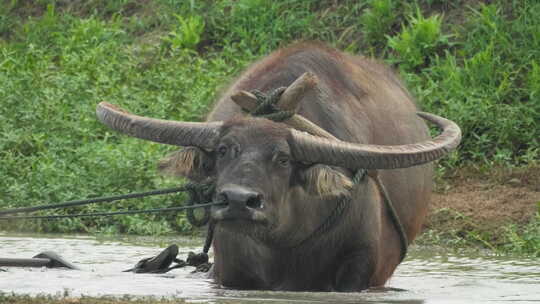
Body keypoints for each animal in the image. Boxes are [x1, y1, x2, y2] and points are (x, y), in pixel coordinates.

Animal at [97, 43, 460, 292]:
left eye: (283, 159)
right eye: (224, 151)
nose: (238, 201)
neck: (283, 245)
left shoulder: (359, 268)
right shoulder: (231, 271)